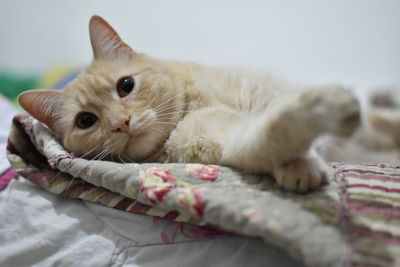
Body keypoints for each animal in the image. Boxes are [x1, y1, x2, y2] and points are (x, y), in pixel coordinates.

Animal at [17, 15, 360, 193]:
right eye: (86, 120)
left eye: (125, 85)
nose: (120, 123)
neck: (192, 105)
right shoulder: (224, 140)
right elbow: (269, 134)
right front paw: (303, 152)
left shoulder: (262, 94)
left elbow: (275, 110)